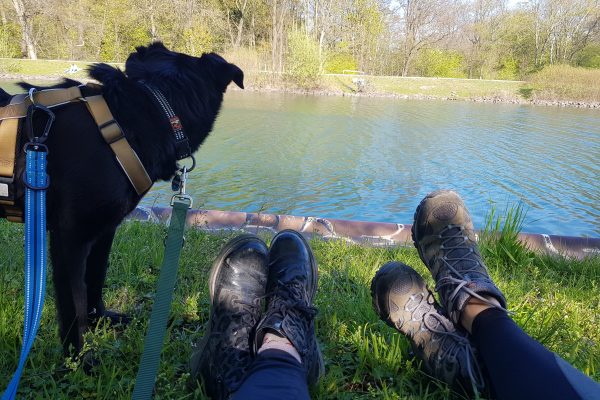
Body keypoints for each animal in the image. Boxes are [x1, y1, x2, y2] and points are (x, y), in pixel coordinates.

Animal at [1, 42, 244, 356]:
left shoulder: (104, 231)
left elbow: (95, 279)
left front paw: (101, 320)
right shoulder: (70, 237)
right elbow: (73, 305)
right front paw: (78, 357)